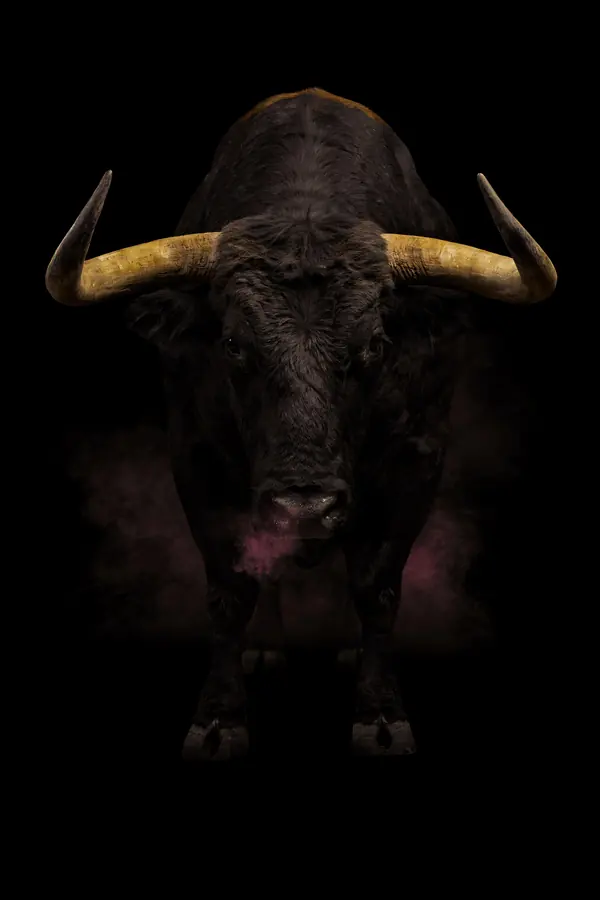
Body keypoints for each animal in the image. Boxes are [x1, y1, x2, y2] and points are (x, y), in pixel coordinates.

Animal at [46, 87, 557, 760]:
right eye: (233, 344)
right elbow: (230, 587)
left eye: (374, 345)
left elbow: (377, 584)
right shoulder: (192, 456)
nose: (304, 506)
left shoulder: (421, 456)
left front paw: (381, 716)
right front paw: (218, 720)